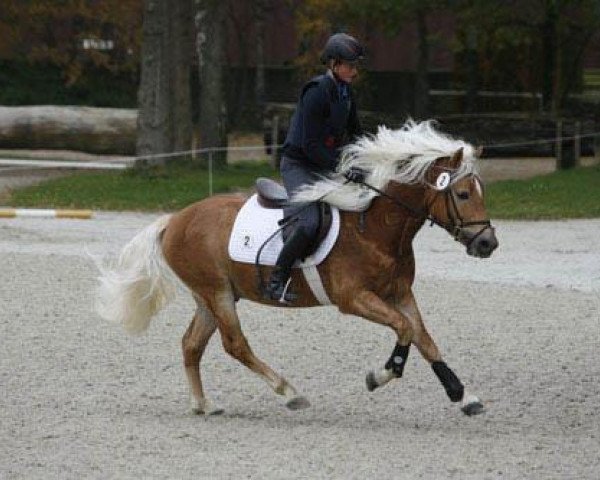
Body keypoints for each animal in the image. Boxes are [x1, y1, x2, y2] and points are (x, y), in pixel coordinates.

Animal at [94, 122, 496, 418]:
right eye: (462, 195)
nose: (487, 244)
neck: (376, 228)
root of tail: (174, 220)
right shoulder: (354, 298)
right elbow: (405, 329)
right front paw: (381, 375)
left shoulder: (398, 292)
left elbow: (424, 338)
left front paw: (463, 395)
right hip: (216, 292)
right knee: (235, 344)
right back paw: (289, 393)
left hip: (211, 296)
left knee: (192, 344)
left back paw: (203, 404)